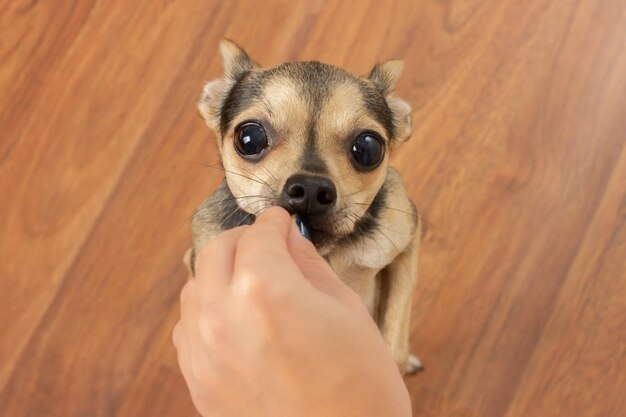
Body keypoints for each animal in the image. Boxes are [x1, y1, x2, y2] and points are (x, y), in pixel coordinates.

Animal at [185, 39, 420, 374]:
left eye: (368, 148)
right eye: (249, 138)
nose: (310, 189)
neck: (326, 255)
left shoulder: (406, 239)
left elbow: (395, 337)